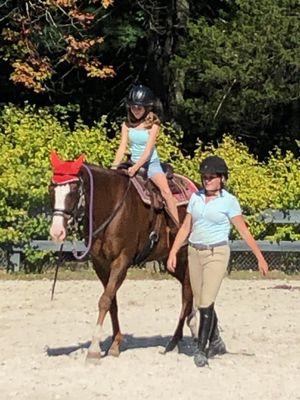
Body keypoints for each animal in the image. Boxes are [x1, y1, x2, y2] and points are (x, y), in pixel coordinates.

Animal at [49, 152, 195, 362]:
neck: (112, 205)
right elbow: (112, 302)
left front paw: (94, 349)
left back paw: (174, 341)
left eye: (75, 189)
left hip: (187, 255)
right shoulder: (100, 264)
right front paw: (115, 344)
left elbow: (104, 300)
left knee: (187, 293)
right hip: (171, 261)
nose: (56, 232)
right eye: (51, 187)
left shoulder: (122, 261)